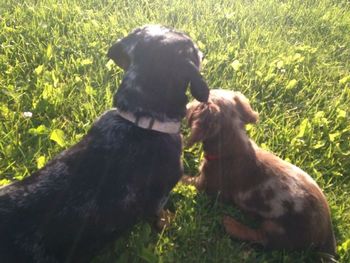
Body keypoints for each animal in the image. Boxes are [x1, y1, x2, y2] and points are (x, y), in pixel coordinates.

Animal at [183, 89, 336, 256]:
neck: (233, 148)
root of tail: (327, 232)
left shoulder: (206, 185)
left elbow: (183, 179)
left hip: (279, 229)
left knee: (261, 238)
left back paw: (231, 224)